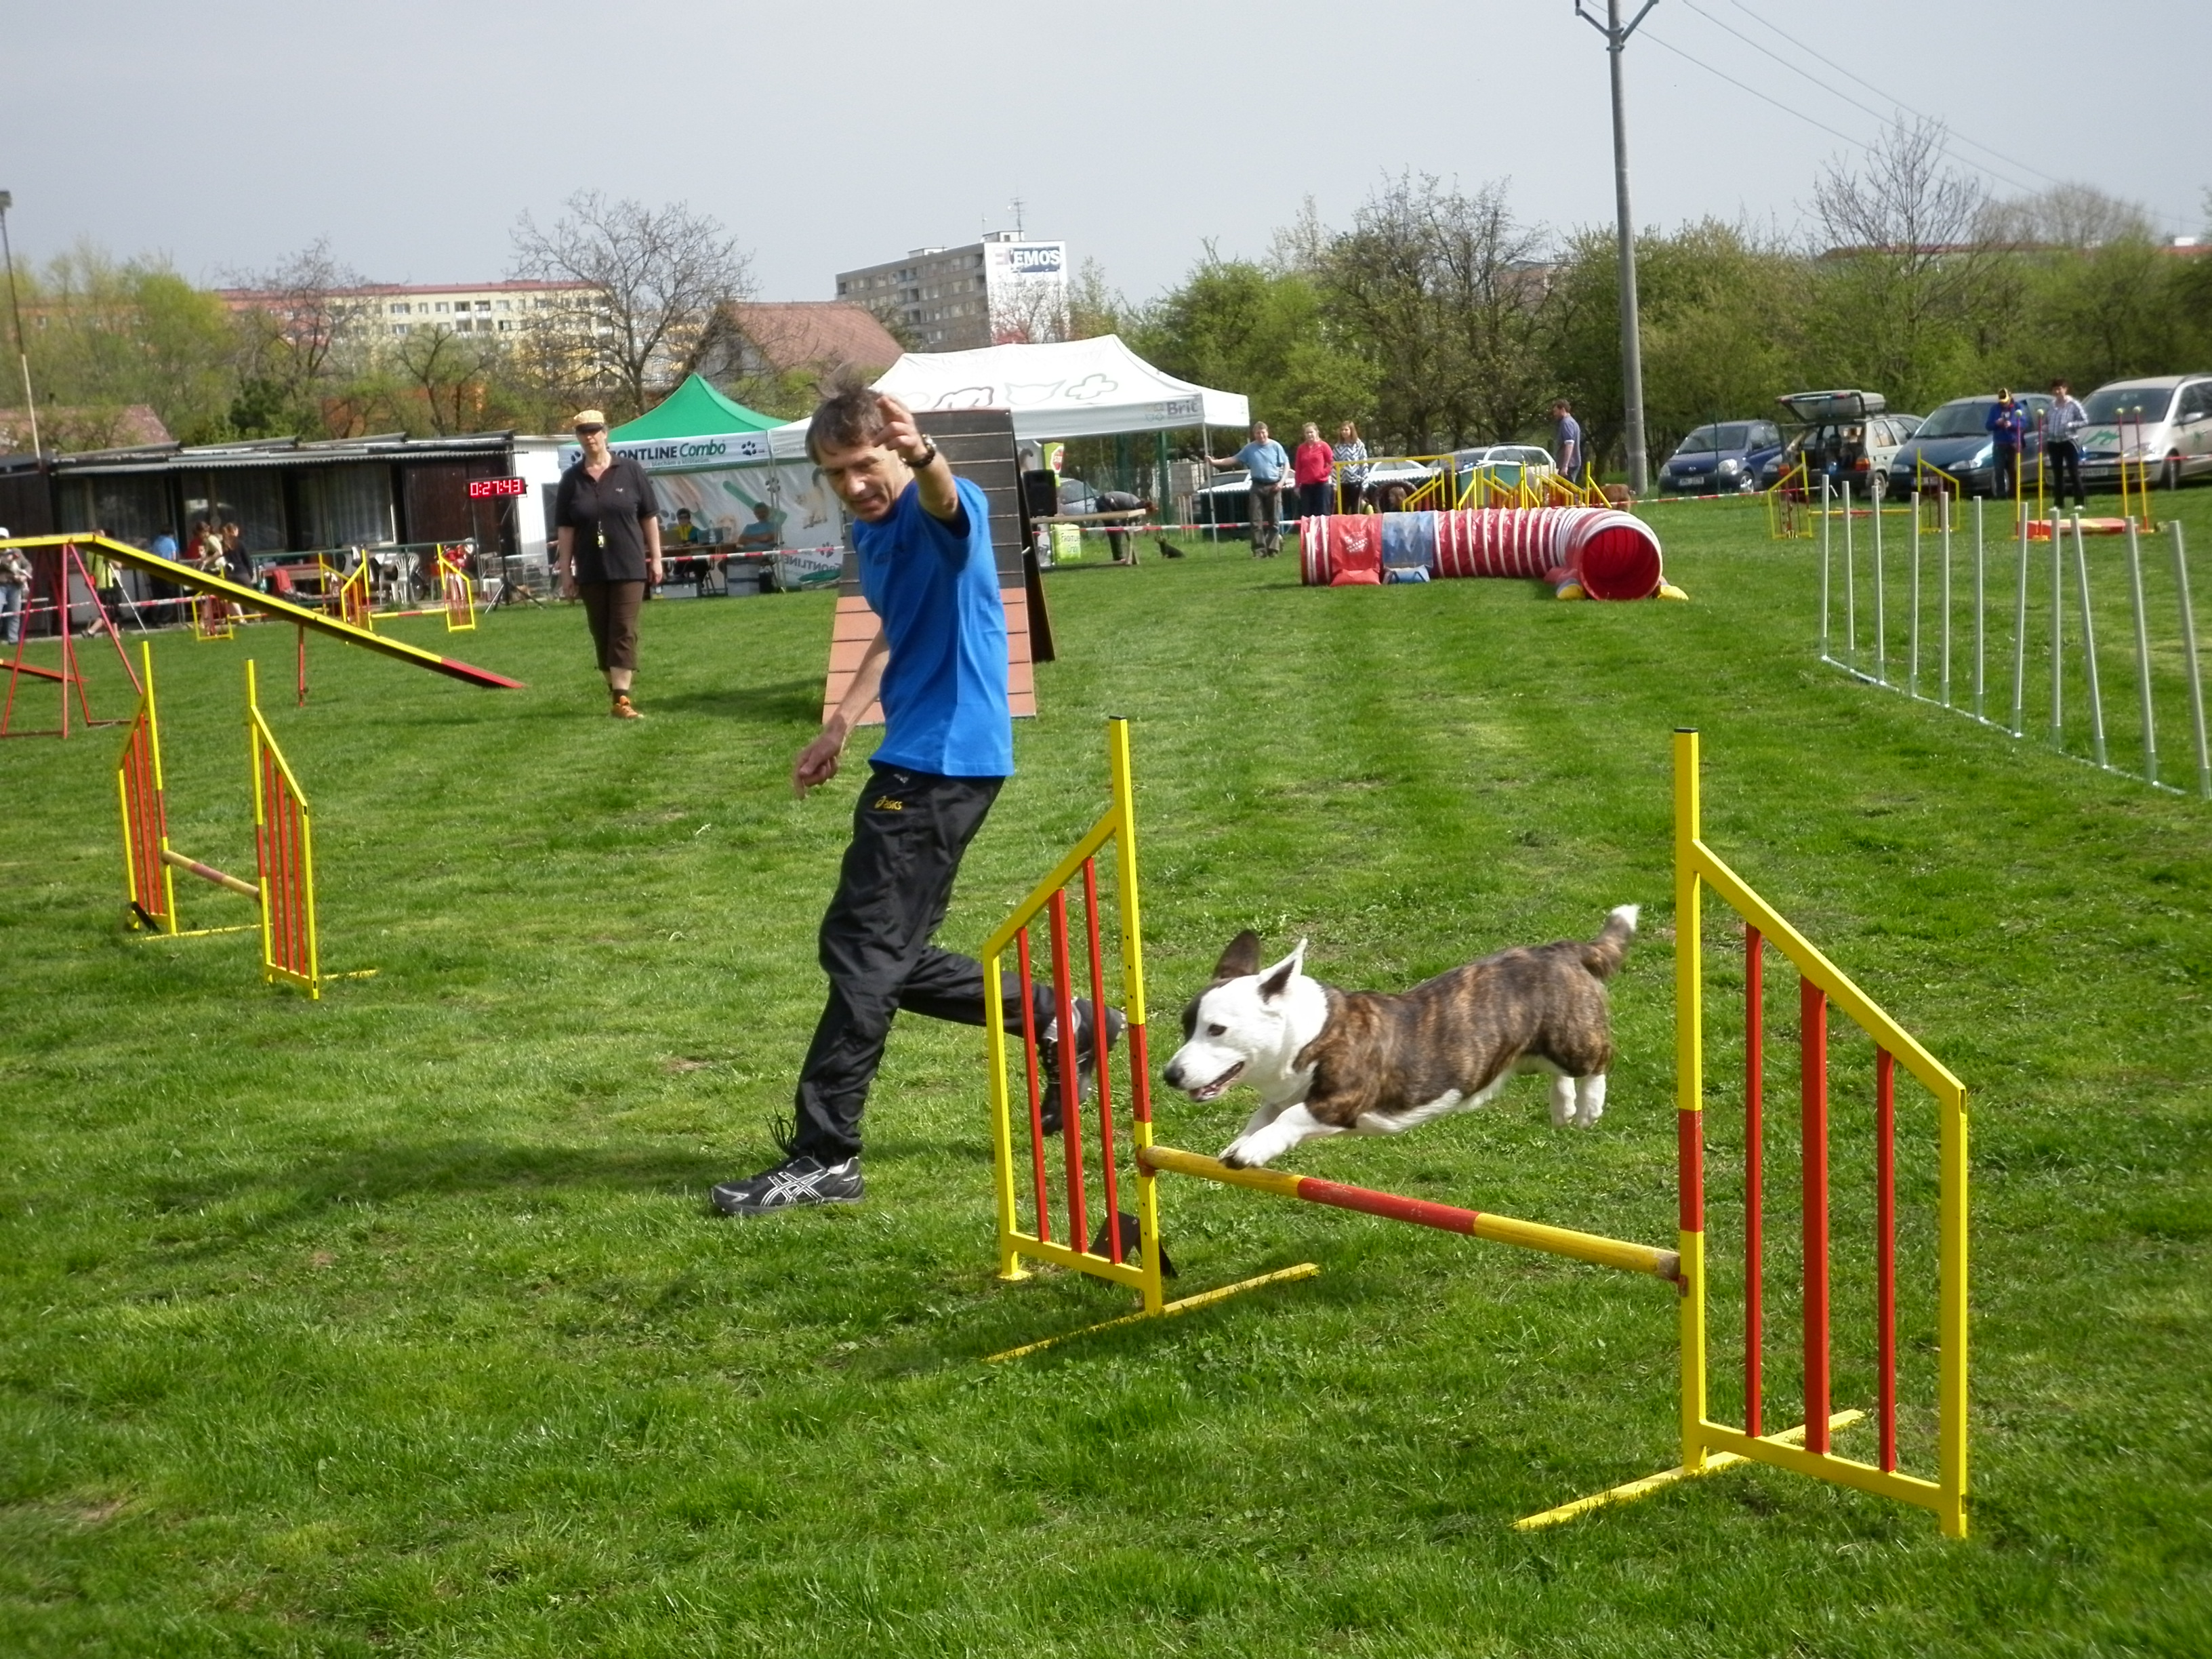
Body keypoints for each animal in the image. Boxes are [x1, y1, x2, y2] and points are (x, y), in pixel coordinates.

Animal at [1168, 916, 1637, 1176]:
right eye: (1186, 1027)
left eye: (1217, 1030)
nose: (1170, 1075)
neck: (1309, 1034)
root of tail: (1564, 950)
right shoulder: (1281, 1096)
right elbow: (1262, 1116)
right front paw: (1238, 1144)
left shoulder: (1338, 1101)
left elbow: (1288, 1119)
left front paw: (1249, 1152)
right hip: (1536, 1048)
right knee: (1558, 1073)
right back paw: (1563, 1109)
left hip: (1572, 1037)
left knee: (1599, 1059)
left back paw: (1589, 1107)